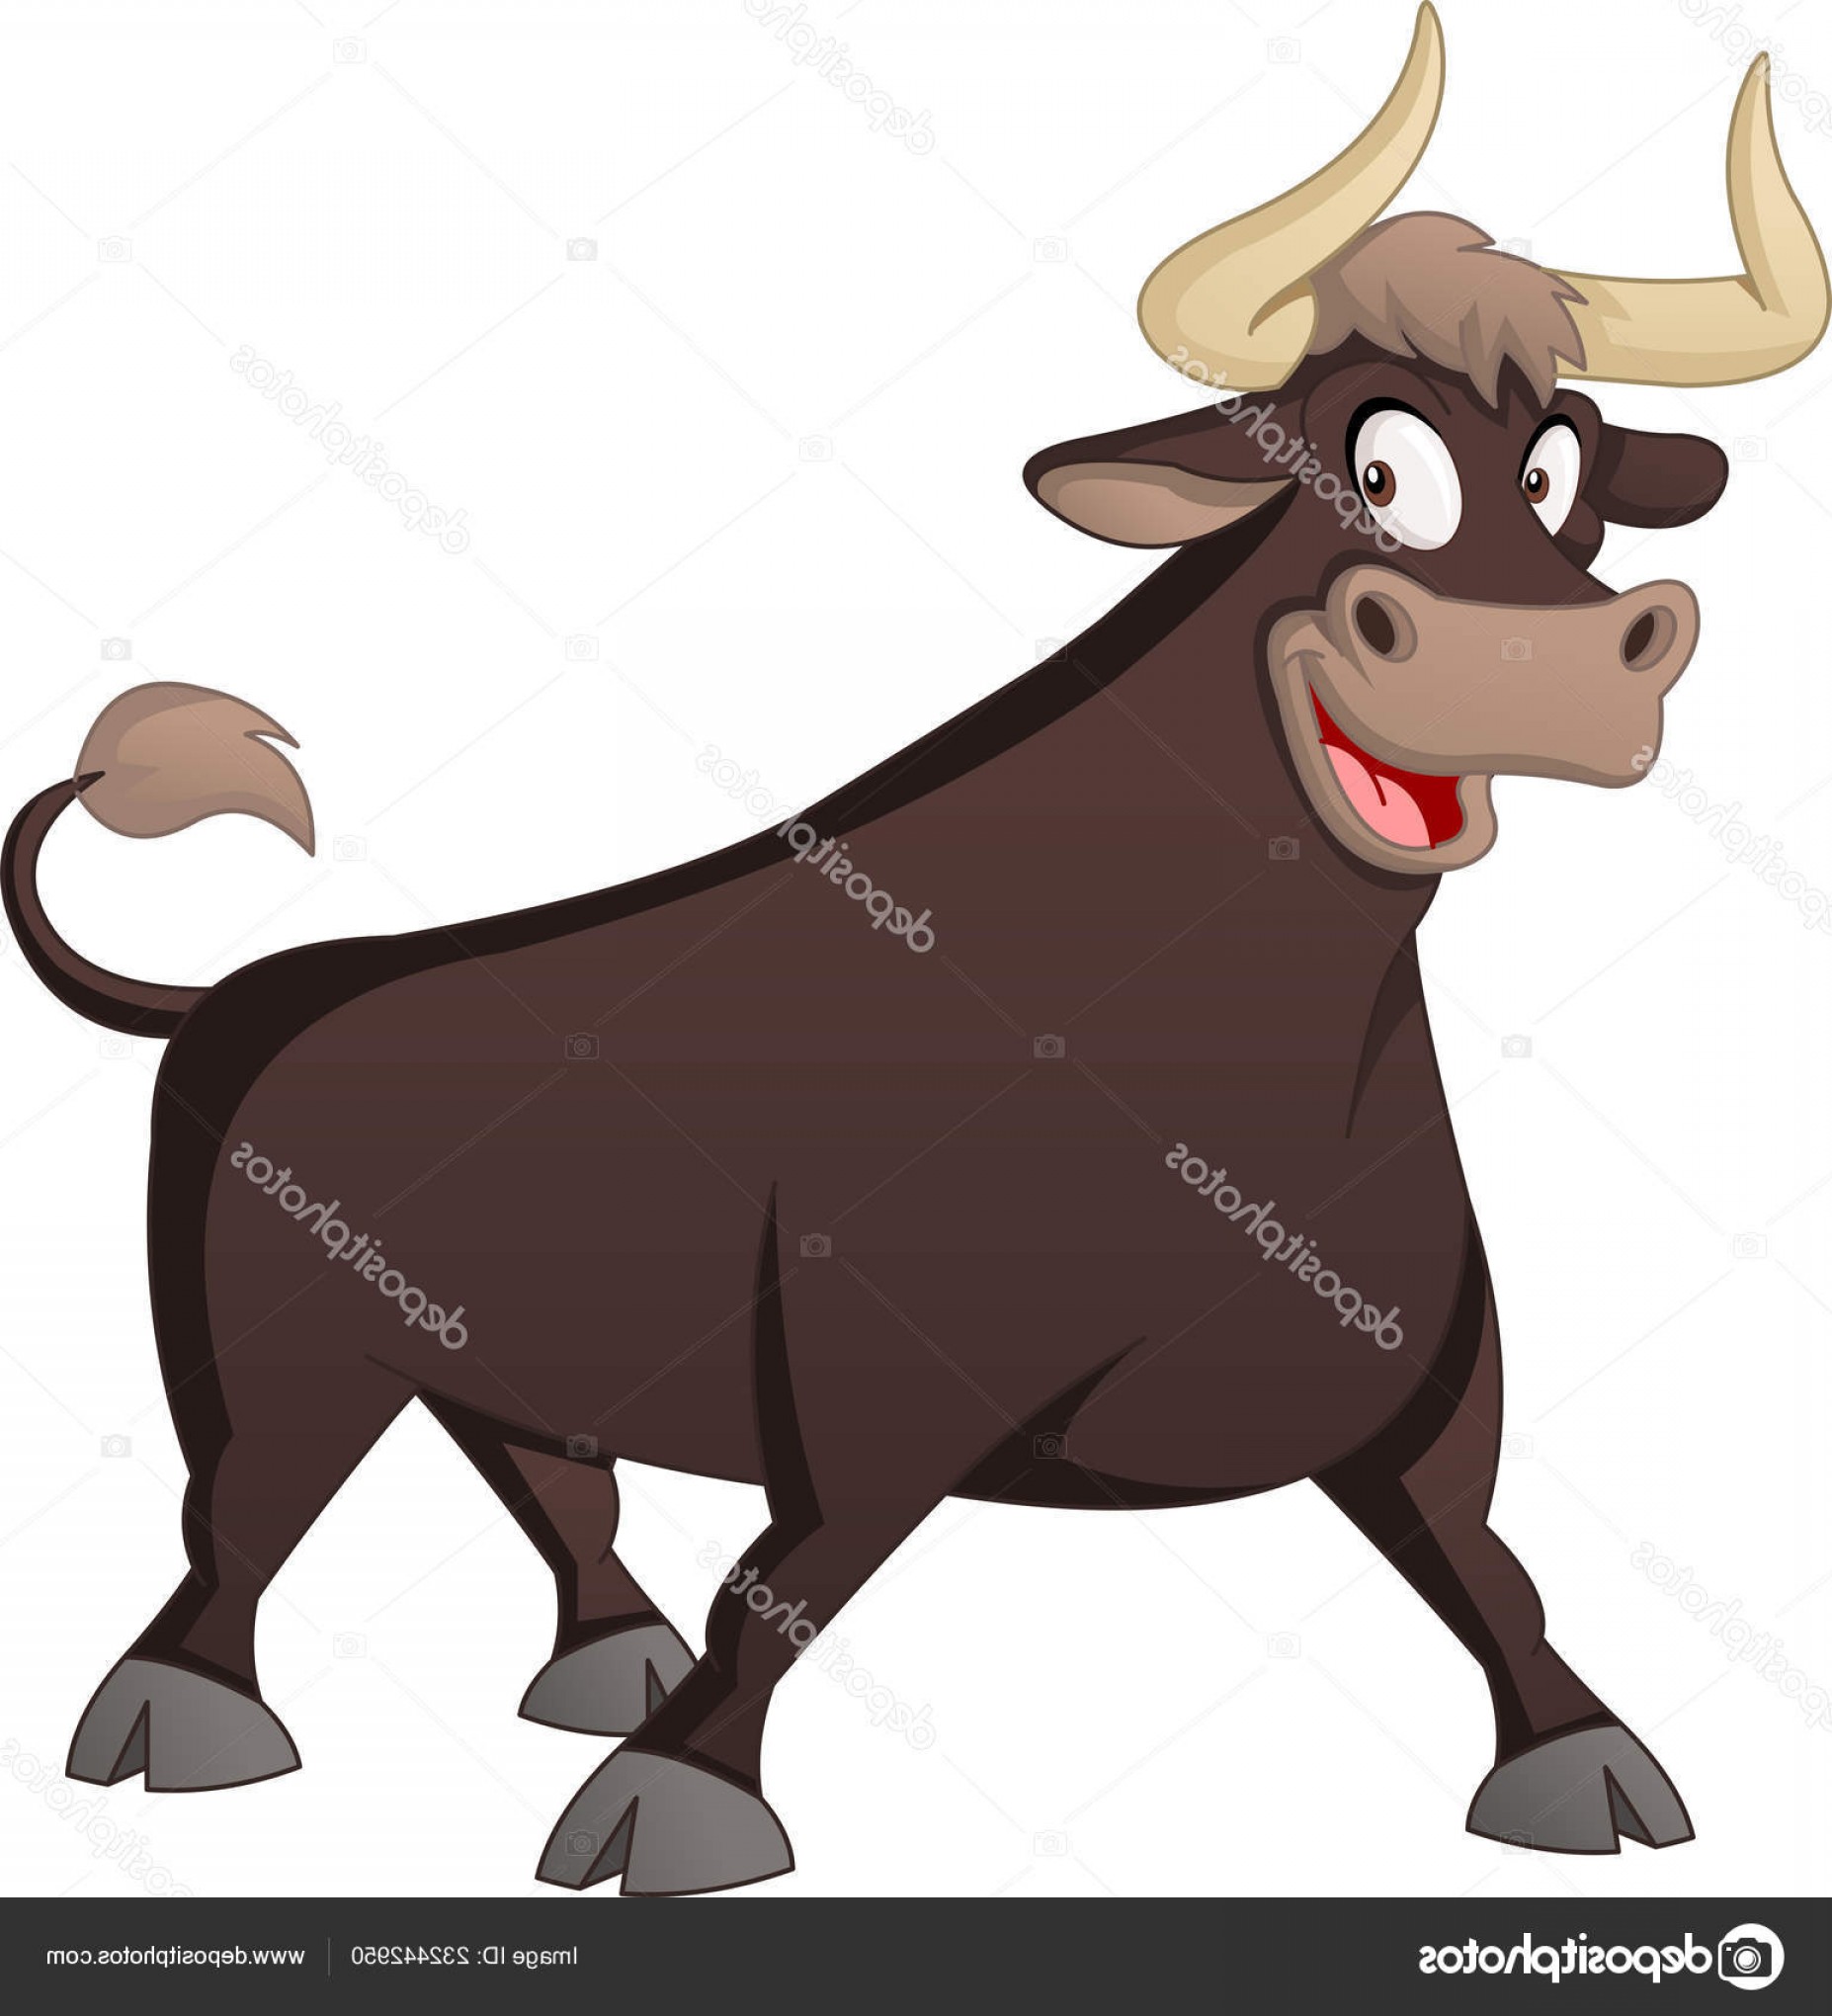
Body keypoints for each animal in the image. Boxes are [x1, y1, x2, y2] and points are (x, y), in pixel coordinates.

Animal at [5, 6, 1823, 1895]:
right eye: (1363, 462)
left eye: (1557, 471)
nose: (1555, 666)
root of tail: (248, 988)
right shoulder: (867, 1398)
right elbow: (786, 1581)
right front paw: (679, 1799)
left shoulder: (1420, 1387)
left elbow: (1491, 1566)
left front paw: (1586, 1762)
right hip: (267, 1356)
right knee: (237, 1516)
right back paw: (185, 1720)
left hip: (474, 1341)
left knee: (551, 1481)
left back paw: (603, 1653)